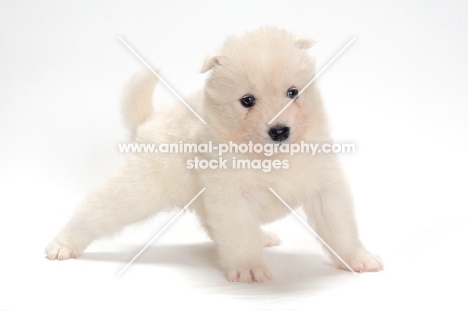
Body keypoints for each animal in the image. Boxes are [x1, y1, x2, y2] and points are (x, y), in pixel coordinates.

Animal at [44, 28, 382, 284]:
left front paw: (358, 259)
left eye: (293, 92)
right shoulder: (232, 196)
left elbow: (340, 229)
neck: (269, 156)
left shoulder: (325, 187)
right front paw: (249, 268)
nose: (279, 131)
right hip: (136, 190)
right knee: (95, 211)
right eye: (247, 100)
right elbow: (240, 233)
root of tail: (148, 123)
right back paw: (63, 245)